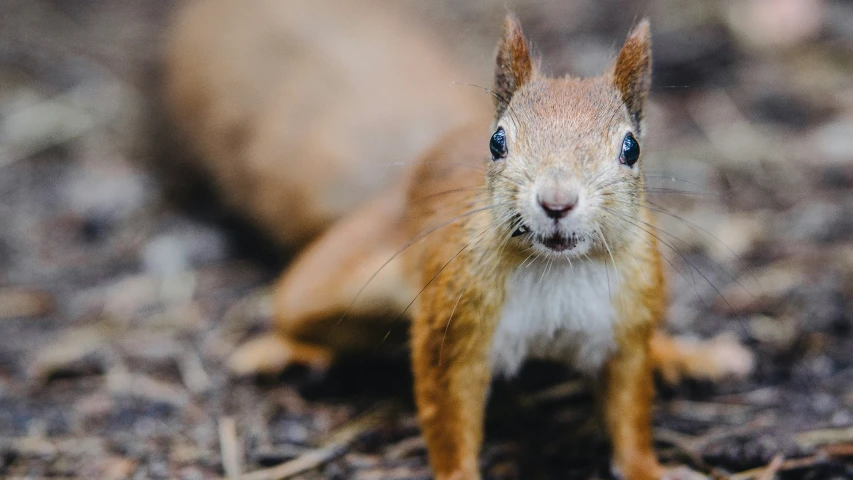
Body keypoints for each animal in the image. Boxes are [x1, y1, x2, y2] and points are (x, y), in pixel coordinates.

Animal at [230, 15, 756, 480]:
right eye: (498, 142)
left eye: (632, 148)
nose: (557, 201)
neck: (556, 268)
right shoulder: (452, 319)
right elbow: (448, 415)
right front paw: (458, 473)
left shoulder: (626, 328)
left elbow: (631, 414)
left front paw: (650, 468)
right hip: (333, 277)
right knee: (299, 310)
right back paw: (283, 348)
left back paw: (687, 354)